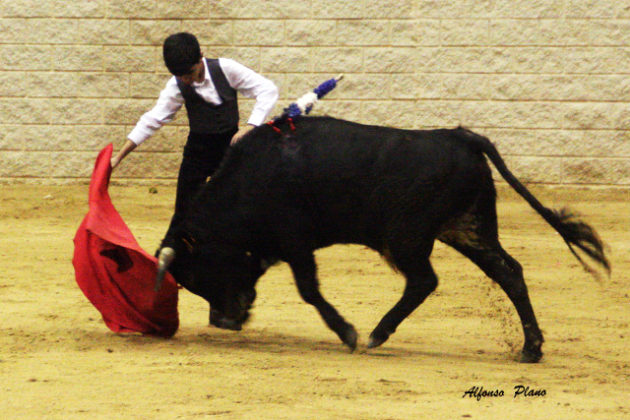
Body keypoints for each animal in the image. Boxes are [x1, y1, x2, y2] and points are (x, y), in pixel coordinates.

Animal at [156, 116, 608, 362]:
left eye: (197, 274)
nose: (224, 321)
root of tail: (459, 136)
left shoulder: (296, 240)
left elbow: (309, 290)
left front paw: (348, 333)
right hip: (467, 228)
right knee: (508, 272)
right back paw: (531, 348)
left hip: (407, 235)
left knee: (425, 280)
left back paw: (376, 334)